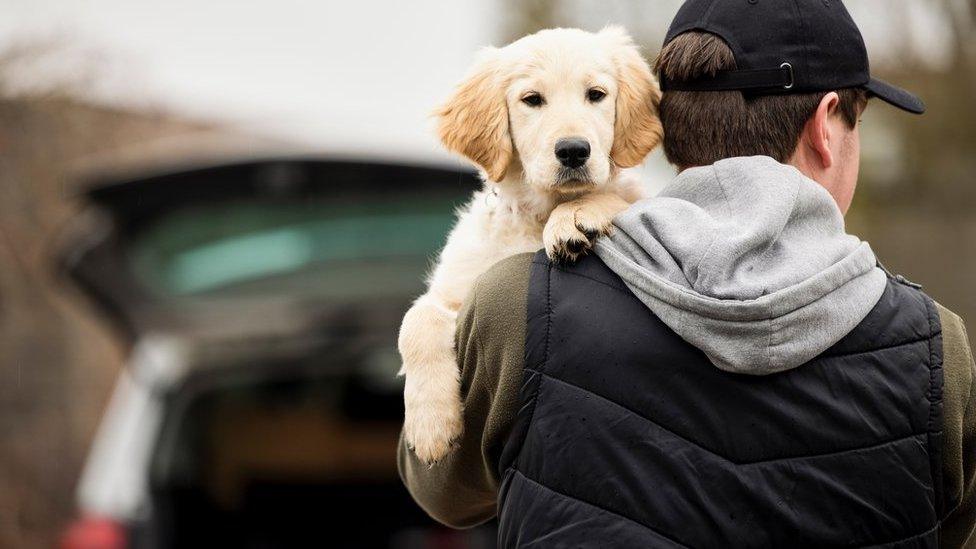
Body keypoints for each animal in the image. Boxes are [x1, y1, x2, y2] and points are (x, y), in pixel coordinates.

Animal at [396, 25, 664, 462]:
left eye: (596, 94)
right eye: (532, 100)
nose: (573, 150)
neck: (537, 214)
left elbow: (618, 197)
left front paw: (575, 216)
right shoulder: (456, 290)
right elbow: (416, 320)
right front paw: (431, 425)